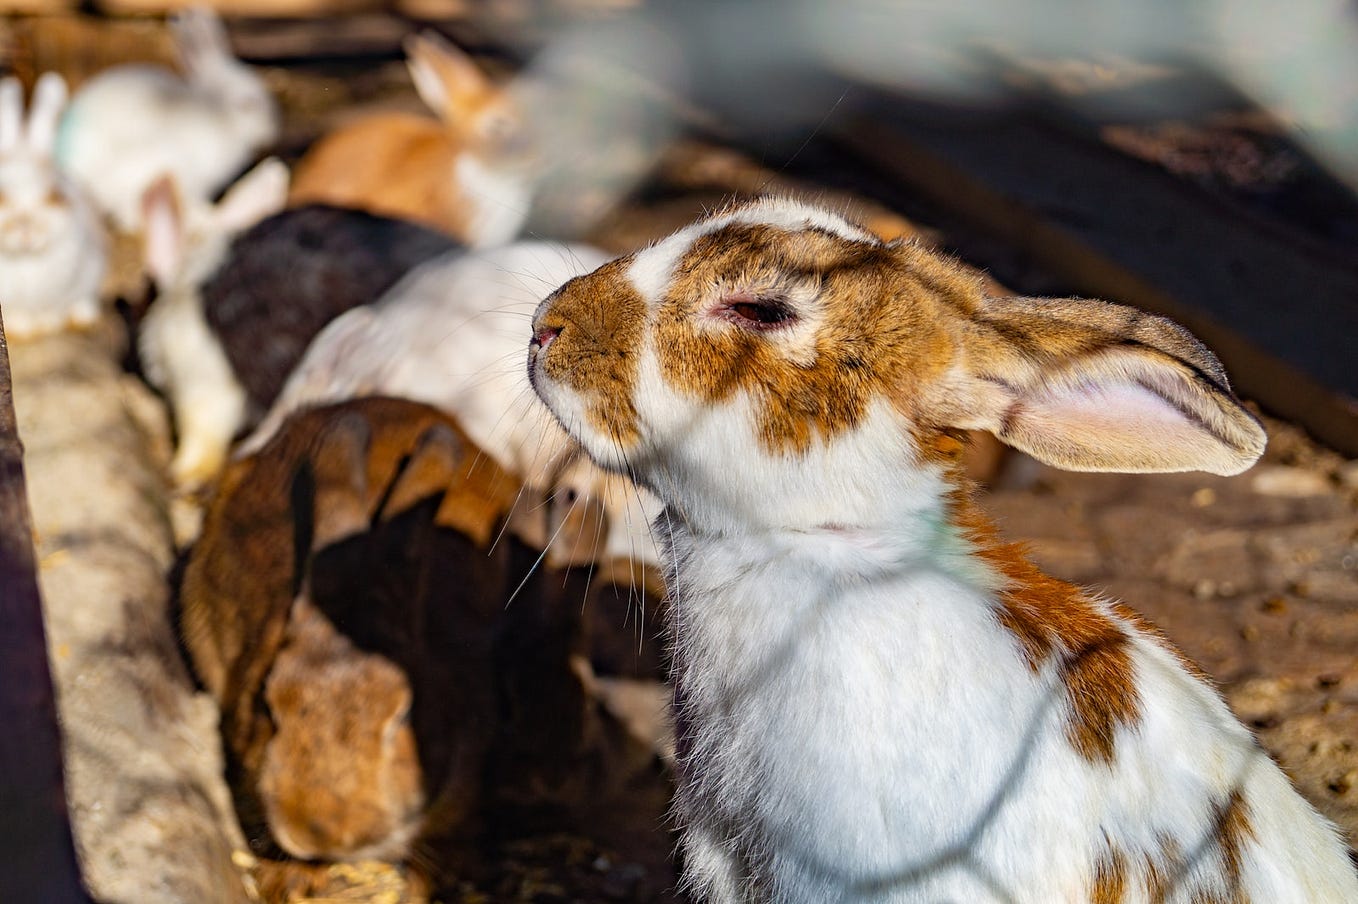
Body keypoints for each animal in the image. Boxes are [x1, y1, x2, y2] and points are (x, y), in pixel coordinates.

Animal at [0, 73, 107, 337]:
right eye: (3, 196)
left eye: (53, 195)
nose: (26, 230)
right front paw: (24, 327)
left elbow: (53, 311)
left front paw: (48, 323)